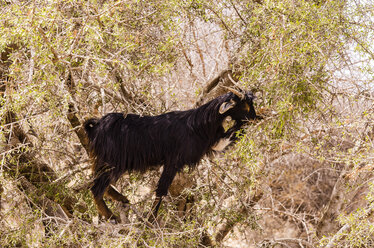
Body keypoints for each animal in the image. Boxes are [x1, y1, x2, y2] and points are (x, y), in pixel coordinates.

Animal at [84, 89, 260, 223]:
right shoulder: (173, 161)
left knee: (97, 181)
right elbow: (161, 190)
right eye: (244, 105)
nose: (255, 117)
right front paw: (150, 220)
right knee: (96, 187)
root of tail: (97, 126)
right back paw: (110, 216)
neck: (199, 125)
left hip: (104, 161)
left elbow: (233, 134)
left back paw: (121, 199)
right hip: (111, 161)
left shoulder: (214, 143)